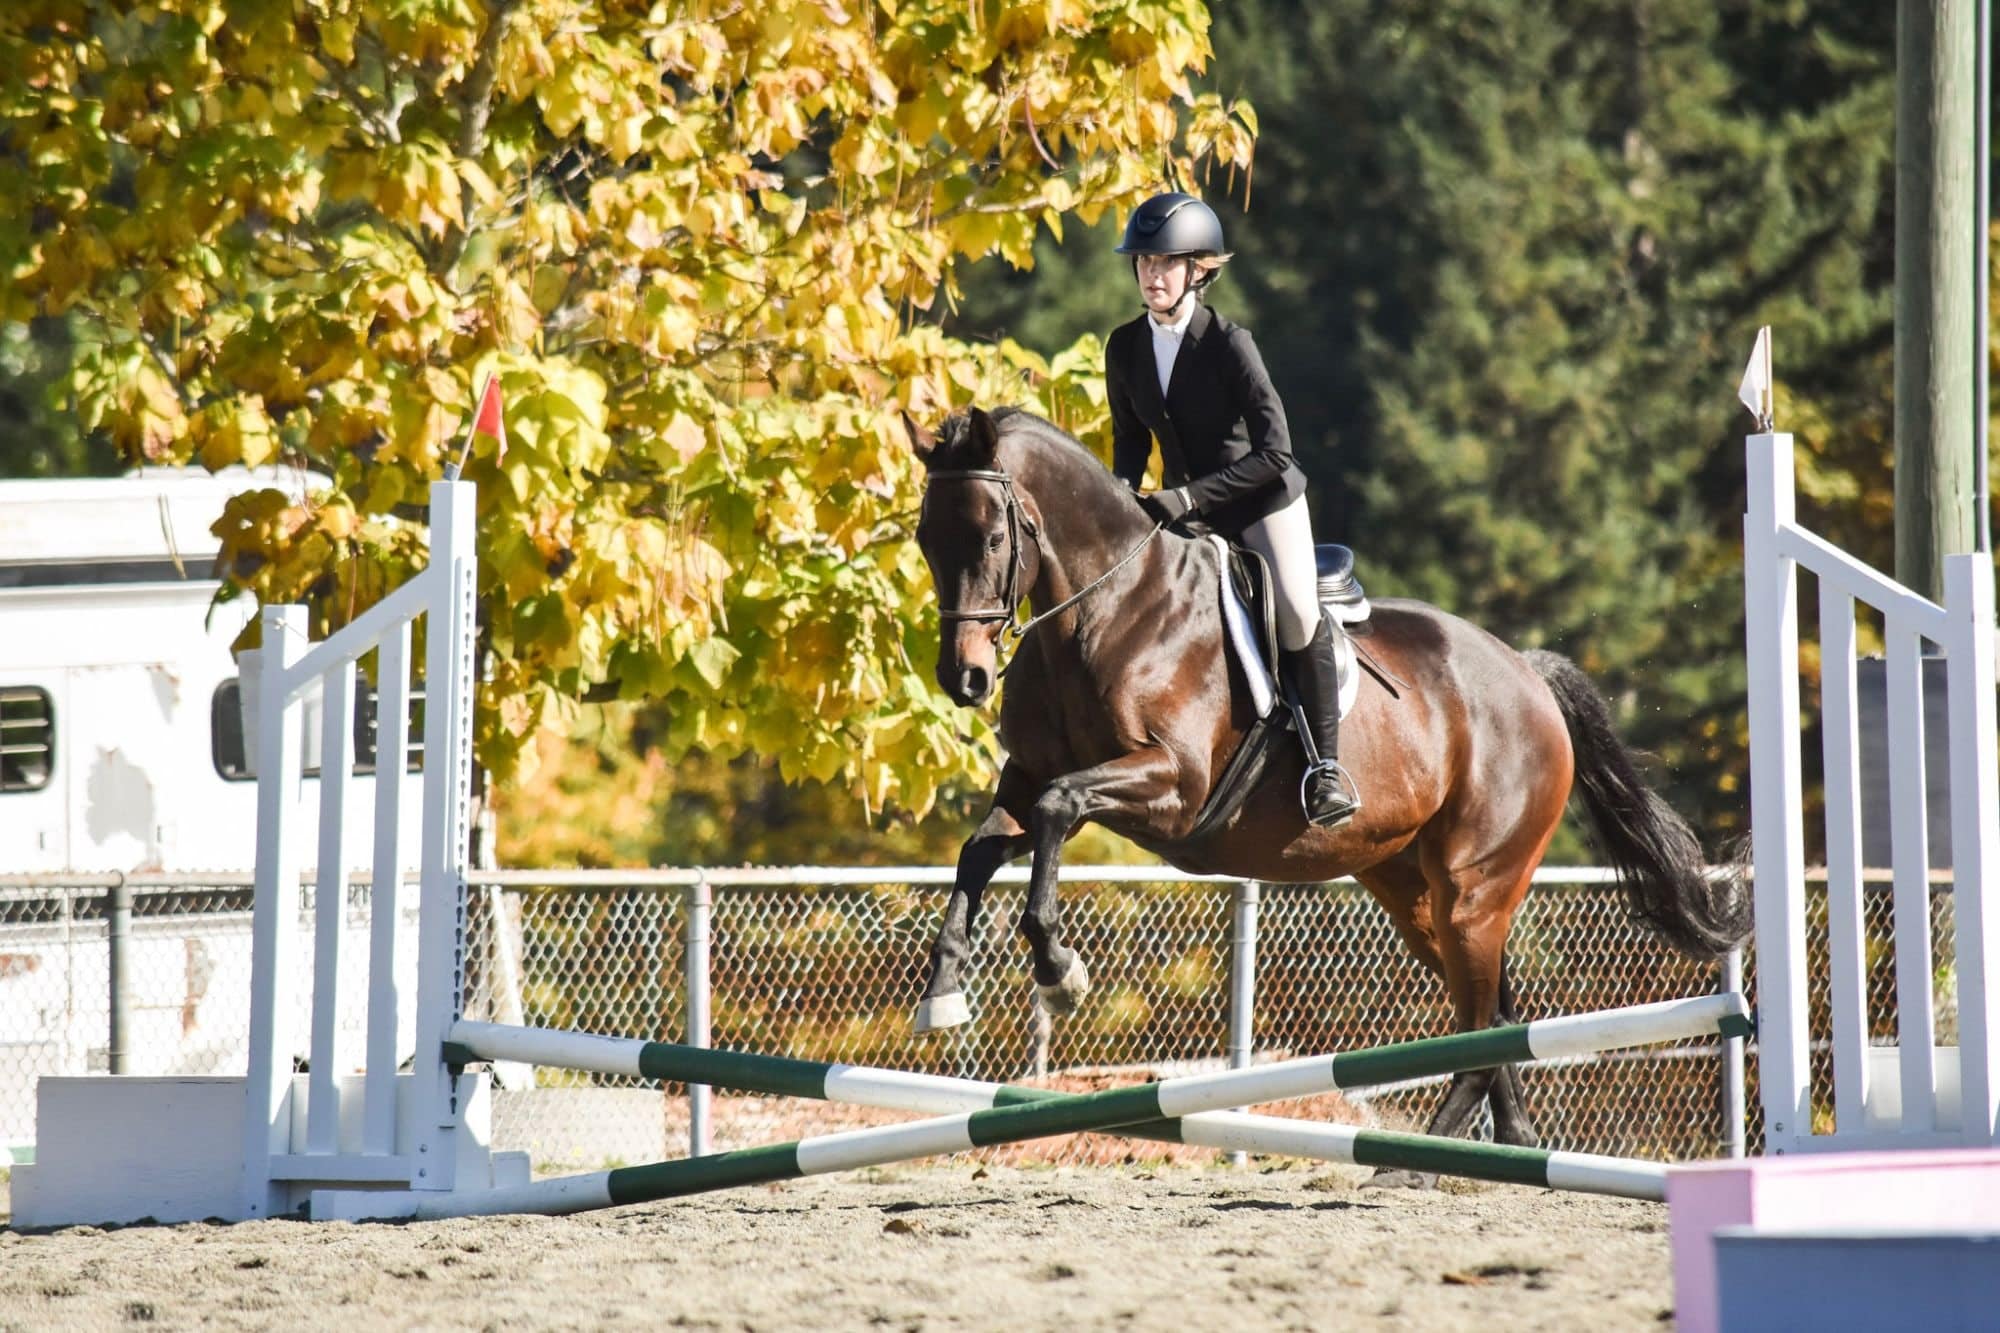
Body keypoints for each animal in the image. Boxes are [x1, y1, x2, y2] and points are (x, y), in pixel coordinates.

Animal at [904, 405, 1751, 1176]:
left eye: (990, 538)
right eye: (924, 540)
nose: (964, 678)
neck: (1104, 611)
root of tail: (1528, 674)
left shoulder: (1172, 785)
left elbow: (1056, 810)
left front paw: (1059, 968)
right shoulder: (1030, 777)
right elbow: (982, 848)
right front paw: (942, 988)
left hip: (1474, 885)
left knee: (1484, 1023)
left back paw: (1412, 1159)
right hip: (1417, 892)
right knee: (1494, 1010)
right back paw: (1506, 1147)